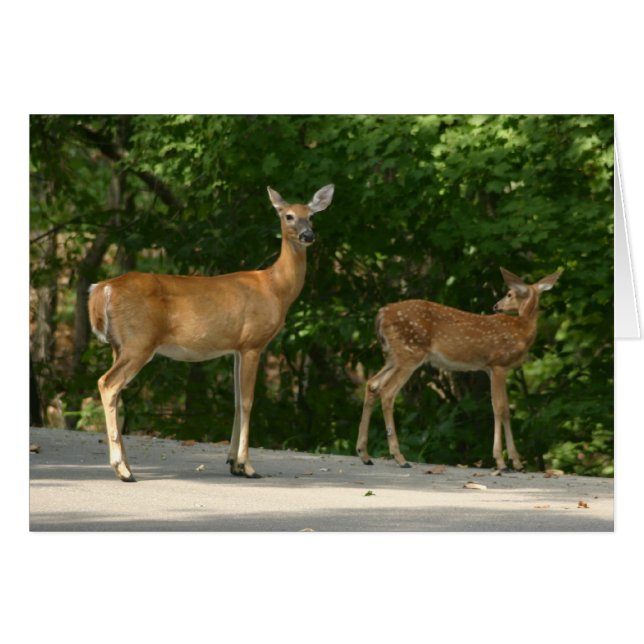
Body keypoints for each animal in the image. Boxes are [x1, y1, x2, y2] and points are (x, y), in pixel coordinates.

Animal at [88, 184, 334, 482]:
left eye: (311, 216)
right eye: (288, 215)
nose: (308, 235)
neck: (276, 288)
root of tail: (103, 288)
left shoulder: (237, 347)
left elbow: (237, 401)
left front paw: (233, 463)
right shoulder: (253, 343)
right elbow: (248, 401)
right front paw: (248, 466)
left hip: (120, 345)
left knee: (114, 389)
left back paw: (126, 465)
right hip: (139, 341)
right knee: (108, 383)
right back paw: (122, 469)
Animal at [356, 267, 562, 472]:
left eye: (509, 294)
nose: (496, 306)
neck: (522, 330)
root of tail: (381, 314)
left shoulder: (492, 369)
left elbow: (506, 410)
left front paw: (517, 462)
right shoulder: (498, 364)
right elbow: (499, 407)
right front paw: (501, 462)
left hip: (394, 357)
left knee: (372, 384)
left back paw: (364, 454)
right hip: (409, 354)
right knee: (387, 392)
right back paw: (400, 458)